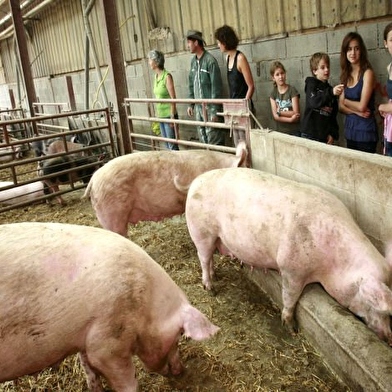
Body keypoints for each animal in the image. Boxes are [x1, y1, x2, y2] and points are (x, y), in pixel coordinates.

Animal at [0, 222, 220, 390]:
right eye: (179, 336)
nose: (180, 371)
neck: (146, 303)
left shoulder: (85, 339)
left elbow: (88, 369)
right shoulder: (108, 341)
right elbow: (125, 381)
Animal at [185, 168, 392, 344]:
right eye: (376, 304)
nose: (389, 337)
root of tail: (195, 181)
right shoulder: (291, 268)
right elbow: (289, 297)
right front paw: (292, 328)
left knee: (210, 259)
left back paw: (215, 276)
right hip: (201, 231)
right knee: (203, 258)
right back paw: (210, 288)